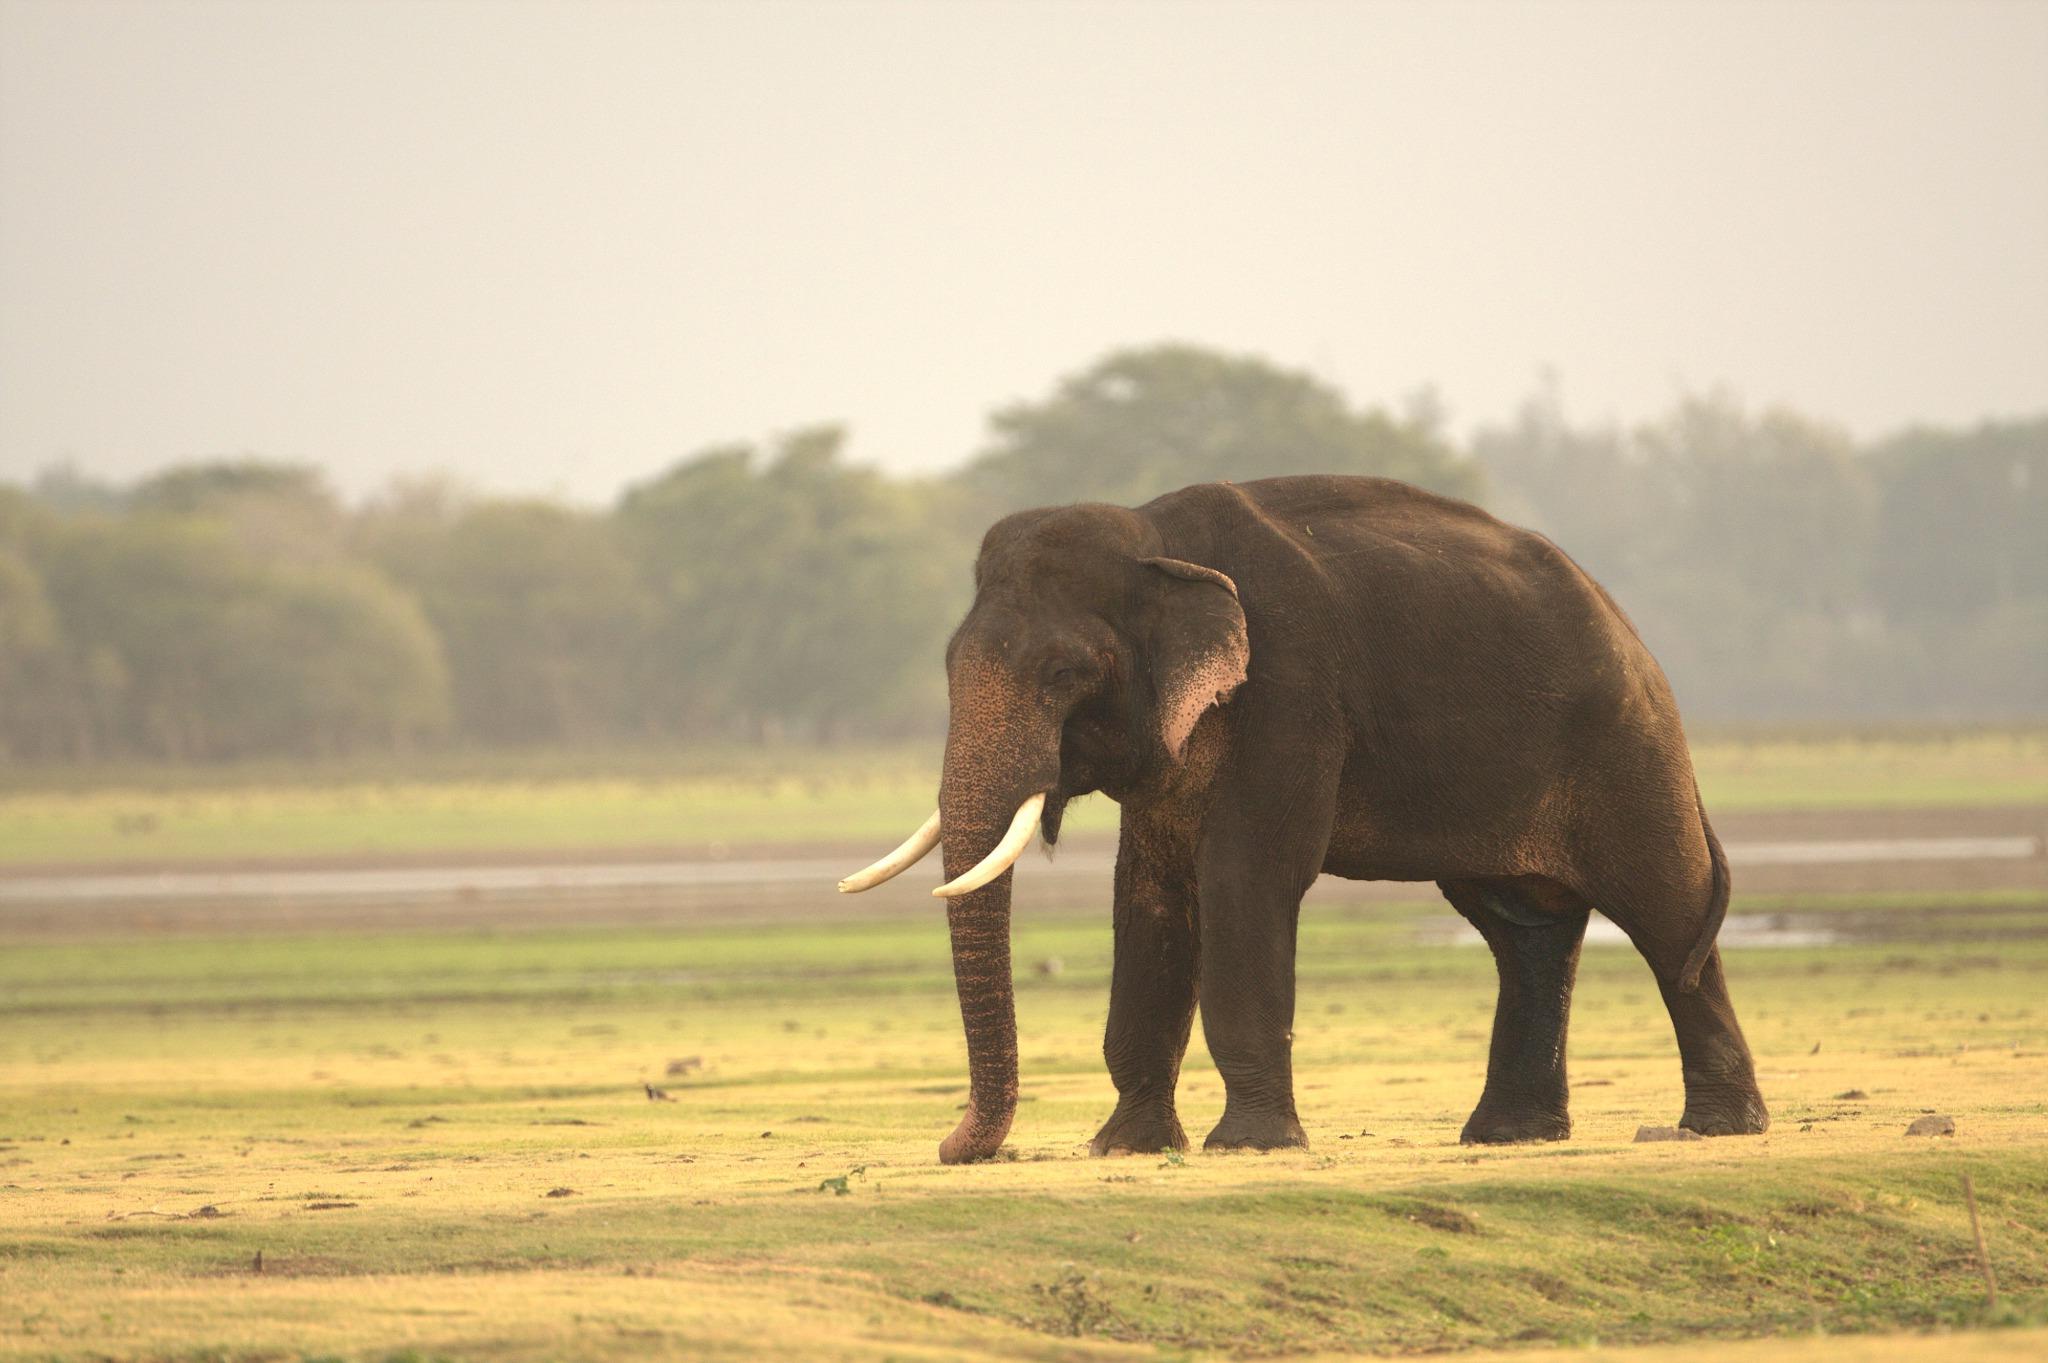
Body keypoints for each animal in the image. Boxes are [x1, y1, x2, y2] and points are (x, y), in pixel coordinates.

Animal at [839, 475, 1770, 1163]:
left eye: (1065, 673)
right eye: (949, 664)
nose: (956, 1146)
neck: (1155, 538)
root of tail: (1628, 624)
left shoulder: (1289, 693)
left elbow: (1242, 879)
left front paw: (1248, 1147)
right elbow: (1150, 894)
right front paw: (1125, 1148)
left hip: (1627, 743)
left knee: (1666, 908)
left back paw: (1715, 1127)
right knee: (1522, 928)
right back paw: (1509, 1136)